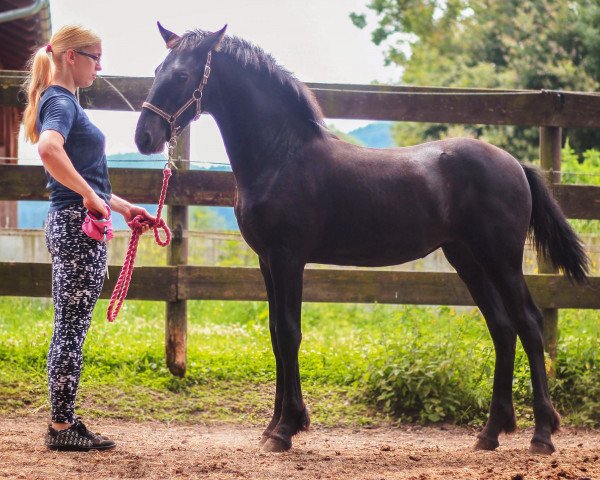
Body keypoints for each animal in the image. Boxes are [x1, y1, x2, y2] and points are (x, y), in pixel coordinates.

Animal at [134, 24, 588, 456]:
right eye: (157, 70)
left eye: (182, 75)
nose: (145, 137)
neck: (282, 156)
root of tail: (516, 165)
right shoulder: (267, 261)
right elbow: (276, 336)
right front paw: (274, 427)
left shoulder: (287, 258)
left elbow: (290, 332)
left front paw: (285, 430)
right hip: (469, 259)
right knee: (502, 329)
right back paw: (490, 433)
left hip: (502, 259)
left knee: (529, 324)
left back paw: (542, 435)